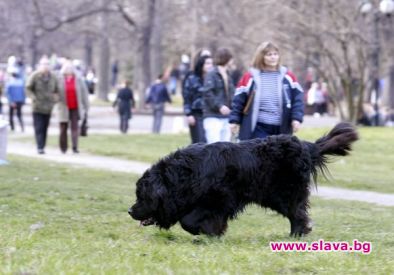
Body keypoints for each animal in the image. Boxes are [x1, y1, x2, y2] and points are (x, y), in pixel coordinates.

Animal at [129, 123, 358, 237]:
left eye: (142, 196)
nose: (130, 211)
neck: (182, 176)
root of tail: (305, 146)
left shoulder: (219, 199)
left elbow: (190, 220)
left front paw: (205, 232)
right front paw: (213, 232)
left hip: (284, 193)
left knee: (297, 213)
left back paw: (298, 234)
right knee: (297, 212)